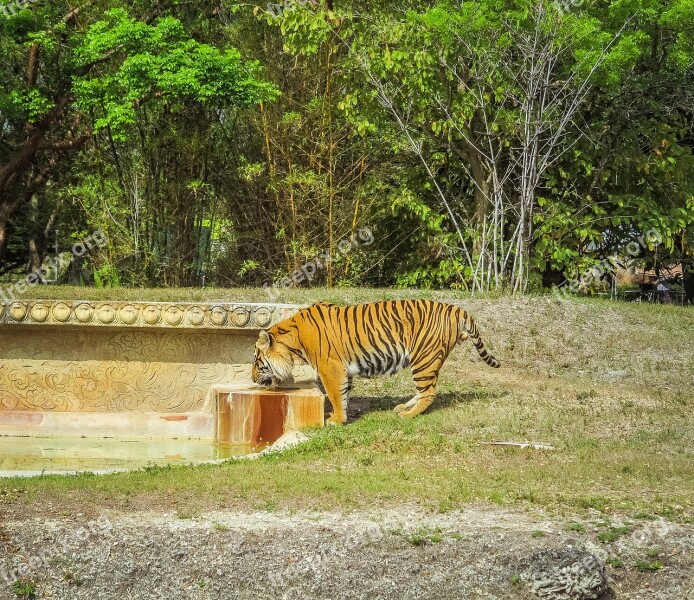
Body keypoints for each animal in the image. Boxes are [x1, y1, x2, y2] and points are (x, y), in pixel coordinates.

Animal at [250, 298, 500, 422]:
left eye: (255, 361)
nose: (251, 378)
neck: (293, 341)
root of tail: (456, 309)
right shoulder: (343, 370)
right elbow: (344, 395)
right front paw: (340, 416)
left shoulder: (330, 368)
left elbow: (335, 394)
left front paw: (335, 420)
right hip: (426, 361)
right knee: (424, 390)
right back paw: (403, 407)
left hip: (424, 358)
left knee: (428, 392)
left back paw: (408, 415)